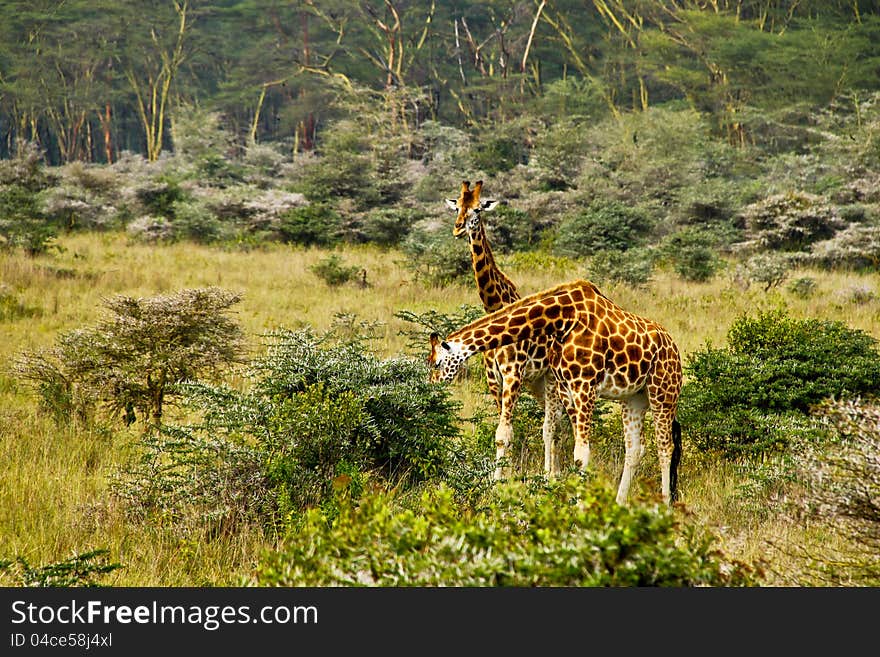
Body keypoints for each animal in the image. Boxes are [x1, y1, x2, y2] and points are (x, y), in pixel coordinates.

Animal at [430, 276, 684, 502]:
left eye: (436, 363)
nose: (431, 387)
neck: (562, 319)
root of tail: (674, 348)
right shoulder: (565, 388)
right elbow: (572, 448)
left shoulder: (585, 386)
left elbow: (581, 454)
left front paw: (580, 508)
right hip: (634, 399)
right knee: (634, 449)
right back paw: (619, 503)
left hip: (663, 393)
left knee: (665, 448)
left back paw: (664, 507)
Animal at [444, 182, 568, 480]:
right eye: (457, 207)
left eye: (478, 209)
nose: (458, 228)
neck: (495, 305)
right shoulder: (493, 377)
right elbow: (503, 432)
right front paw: (503, 475)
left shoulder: (513, 373)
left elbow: (505, 433)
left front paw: (500, 481)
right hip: (536, 382)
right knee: (553, 421)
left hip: (551, 379)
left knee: (551, 425)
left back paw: (550, 474)